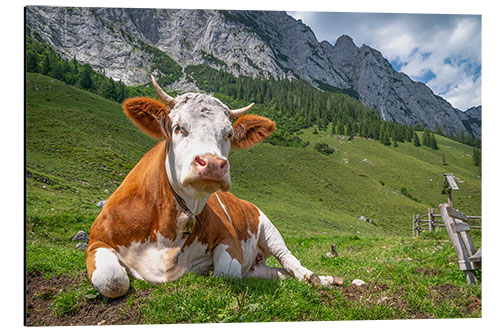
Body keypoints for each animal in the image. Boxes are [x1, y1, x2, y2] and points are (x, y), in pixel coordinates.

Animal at [86, 76, 344, 296]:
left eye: (228, 134)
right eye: (178, 127)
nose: (212, 163)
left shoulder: (229, 240)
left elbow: (226, 273)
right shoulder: (97, 241)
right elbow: (112, 280)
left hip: (269, 229)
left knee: (290, 261)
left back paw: (319, 278)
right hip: (258, 262)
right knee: (276, 272)